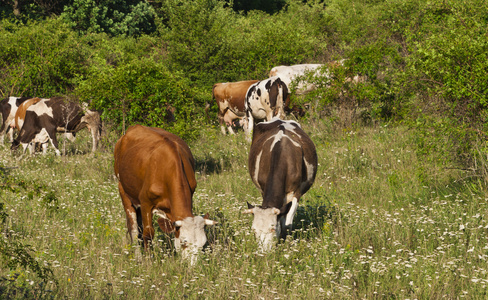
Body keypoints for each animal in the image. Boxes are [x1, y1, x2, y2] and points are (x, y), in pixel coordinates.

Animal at [113, 125, 216, 264]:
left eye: (203, 244)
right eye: (183, 242)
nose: (192, 266)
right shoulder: (146, 202)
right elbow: (148, 233)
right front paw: (148, 260)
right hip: (123, 190)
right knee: (133, 228)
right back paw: (138, 257)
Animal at [243, 118, 316, 252]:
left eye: (272, 228)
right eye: (254, 231)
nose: (263, 253)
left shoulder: (295, 192)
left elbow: (287, 223)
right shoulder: (263, 188)